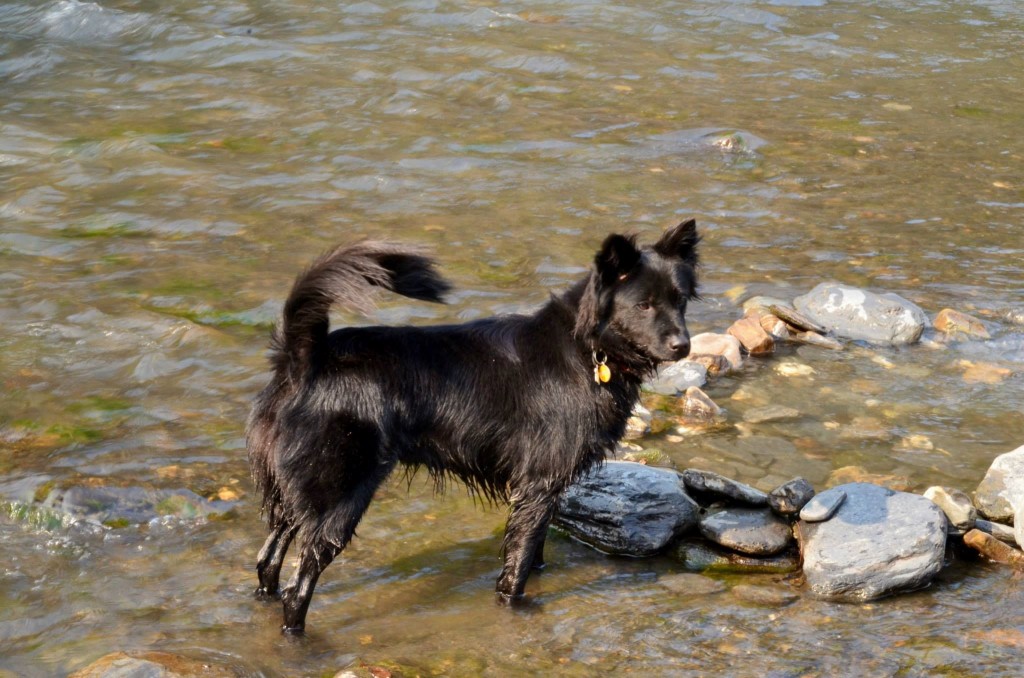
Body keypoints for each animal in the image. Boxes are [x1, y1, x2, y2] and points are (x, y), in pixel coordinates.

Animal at [243, 220, 700, 634]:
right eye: (644, 305)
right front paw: (514, 606)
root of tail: (304, 360)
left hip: (297, 495)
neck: (587, 348)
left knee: (268, 561)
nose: (683, 346)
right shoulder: (540, 483)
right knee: (297, 589)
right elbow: (518, 564)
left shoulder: (539, 490)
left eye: (680, 301)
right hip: (339, 499)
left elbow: (531, 549)